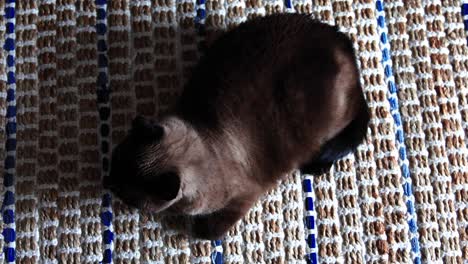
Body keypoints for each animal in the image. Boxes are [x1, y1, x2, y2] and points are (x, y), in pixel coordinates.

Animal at [105, 13, 370, 240]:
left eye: (124, 193)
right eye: (114, 161)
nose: (108, 181)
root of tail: (341, 38)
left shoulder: (243, 197)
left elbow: (208, 232)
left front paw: (195, 229)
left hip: (331, 114)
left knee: (357, 117)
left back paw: (320, 165)